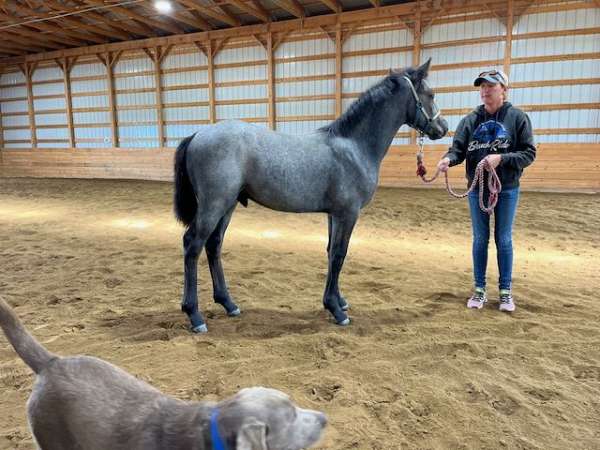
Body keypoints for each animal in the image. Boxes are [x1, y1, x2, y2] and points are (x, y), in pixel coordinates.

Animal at [172, 58, 446, 332]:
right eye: (431, 94)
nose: (442, 128)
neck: (354, 146)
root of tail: (197, 135)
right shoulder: (348, 213)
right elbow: (339, 254)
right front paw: (336, 310)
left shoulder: (334, 215)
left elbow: (331, 251)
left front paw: (339, 300)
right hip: (213, 205)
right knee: (192, 245)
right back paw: (194, 314)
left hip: (227, 206)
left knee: (213, 245)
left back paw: (228, 303)